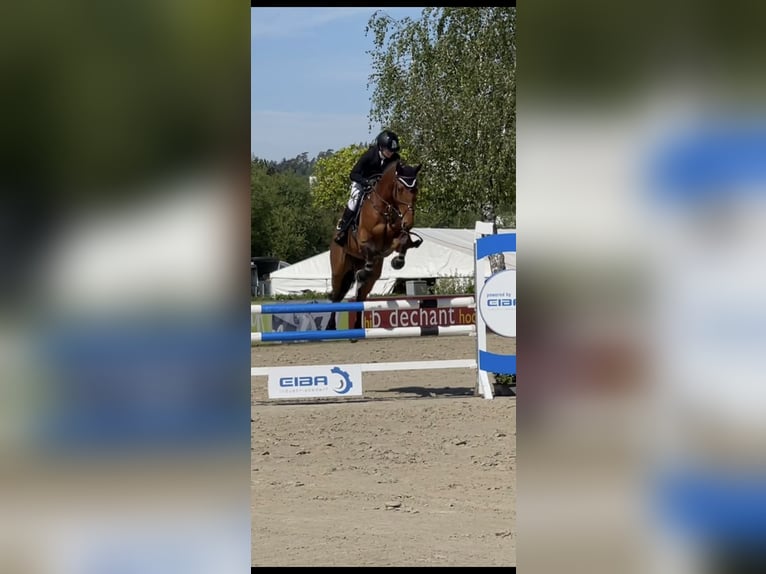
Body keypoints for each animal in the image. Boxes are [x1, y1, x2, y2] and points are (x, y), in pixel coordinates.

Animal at [326, 160, 423, 332]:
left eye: (416, 189)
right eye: (400, 189)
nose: (409, 222)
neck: (385, 207)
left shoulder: (394, 237)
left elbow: (403, 240)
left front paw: (398, 261)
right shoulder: (363, 239)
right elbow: (371, 247)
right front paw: (365, 271)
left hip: (371, 276)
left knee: (360, 296)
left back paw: (357, 327)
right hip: (339, 269)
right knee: (336, 296)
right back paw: (330, 327)